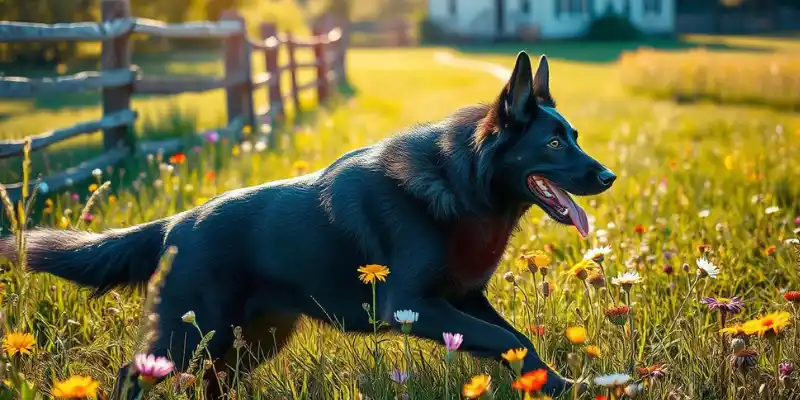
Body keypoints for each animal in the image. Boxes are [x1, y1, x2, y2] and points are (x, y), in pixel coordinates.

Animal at [0, 51, 620, 398]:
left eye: (574, 136)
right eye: (554, 143)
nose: (609, 176)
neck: (463, 180)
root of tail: (176, 223)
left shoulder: (465, 300)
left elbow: (516, 341)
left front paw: (559, 386)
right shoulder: (413, 305)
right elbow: (509, 341)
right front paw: (561, 386)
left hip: (253, 339)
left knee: (213, 383)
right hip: (183, 335)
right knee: (133, 376)